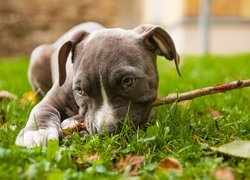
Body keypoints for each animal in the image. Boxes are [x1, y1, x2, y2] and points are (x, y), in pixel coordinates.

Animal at [15, 22, 180, 148]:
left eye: (127, 81)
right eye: (80, 91)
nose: (106, 131)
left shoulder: (150, 108)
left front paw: (74, 124)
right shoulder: (53, 97)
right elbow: (41, 109)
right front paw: (36, 133)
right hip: (38, 55)